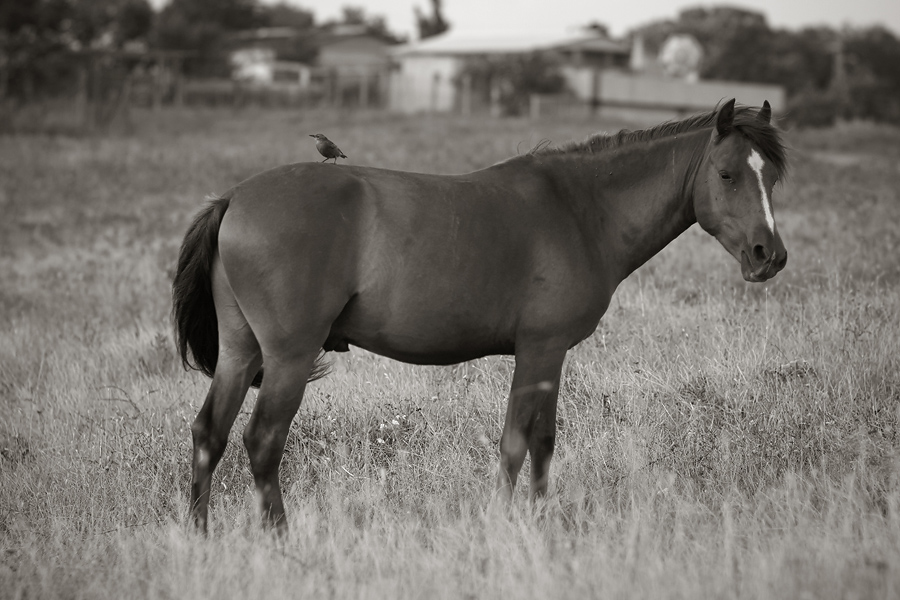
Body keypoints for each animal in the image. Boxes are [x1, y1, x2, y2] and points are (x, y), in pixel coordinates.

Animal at [171, 99, 788, 536]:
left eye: (773, 177)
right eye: (727, 174)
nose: (769, 256)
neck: (580, 210)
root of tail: (233, 198)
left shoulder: (545, 357)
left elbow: (542, 440)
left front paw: (539, 521)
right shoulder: (540, 350)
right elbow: (519, 441)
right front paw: (507, 523)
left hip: (240, 354)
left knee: (209, 434)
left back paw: (200, 535)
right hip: (289, 359)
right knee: (262, 441)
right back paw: (280, 537)